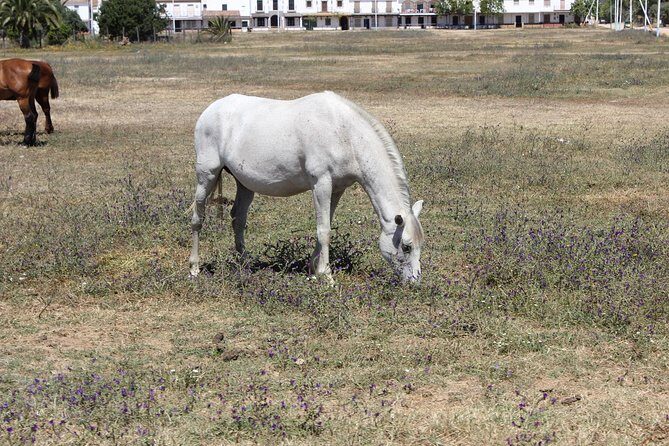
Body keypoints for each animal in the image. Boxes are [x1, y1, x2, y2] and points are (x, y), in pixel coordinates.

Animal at [189, 91, 425, 284]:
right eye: (406, 246)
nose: (414, 282)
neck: (344, 132)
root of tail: (210, 110)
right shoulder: (321, 183)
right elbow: (324, 230)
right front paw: (327, 277)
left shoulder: (337, 188)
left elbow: (326, 225)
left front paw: (314, 269)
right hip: (207, 175)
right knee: (198, 218)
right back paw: (194, 268)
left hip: (244, 184)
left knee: (238, 219)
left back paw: (245, 263)